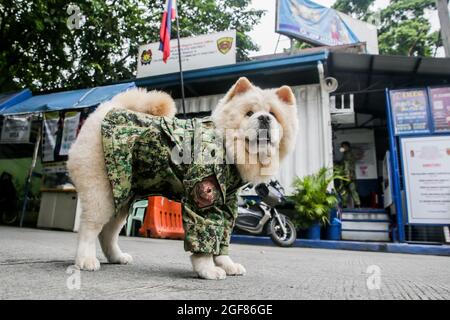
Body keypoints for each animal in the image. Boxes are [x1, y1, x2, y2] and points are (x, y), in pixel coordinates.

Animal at [67, 77, 298, 280]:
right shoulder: (204, 195)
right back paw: (86, 260)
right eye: (249, 113)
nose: (264, 118)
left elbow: (223, 238)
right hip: (101, 191)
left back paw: (117, 257)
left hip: (123, 196)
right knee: (89, 228)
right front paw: (208, 270)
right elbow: (203, 237)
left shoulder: (227, 203)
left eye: (274, 114)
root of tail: (103, 111)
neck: (228, 147)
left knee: (108, 233)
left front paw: (227, 265)